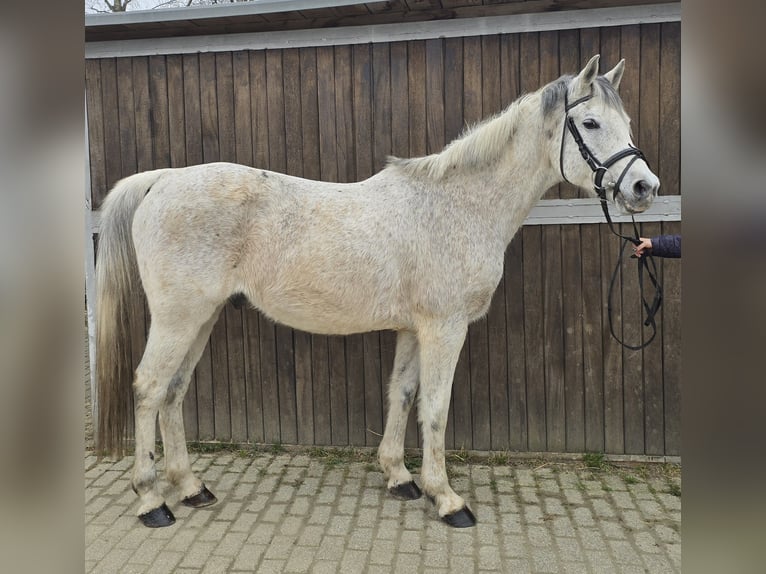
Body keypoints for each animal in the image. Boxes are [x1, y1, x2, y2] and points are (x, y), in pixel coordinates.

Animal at [96, 56, 660, 528]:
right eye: (591, 124)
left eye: (630, 124)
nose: (644, 188)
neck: (456, 205)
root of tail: (163, 179)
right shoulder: (444, 328)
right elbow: (435, 407)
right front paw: (447, 499)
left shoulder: (414, 328)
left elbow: (402, 394)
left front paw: (400, 477)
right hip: (178, 317)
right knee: (148, 389)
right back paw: (152, 501)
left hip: (203, 316)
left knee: (173, 392)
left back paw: (191, 488)